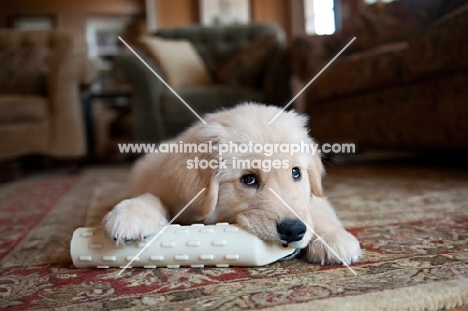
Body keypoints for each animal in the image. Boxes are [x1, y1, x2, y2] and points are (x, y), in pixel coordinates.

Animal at [103, 103, 362, 264]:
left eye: (296, 173)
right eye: (249, 179)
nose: (293, 230)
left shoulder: (313, 198)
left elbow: (317, 211)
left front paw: (334, 239)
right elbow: (153, 196)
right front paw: (132, 214)